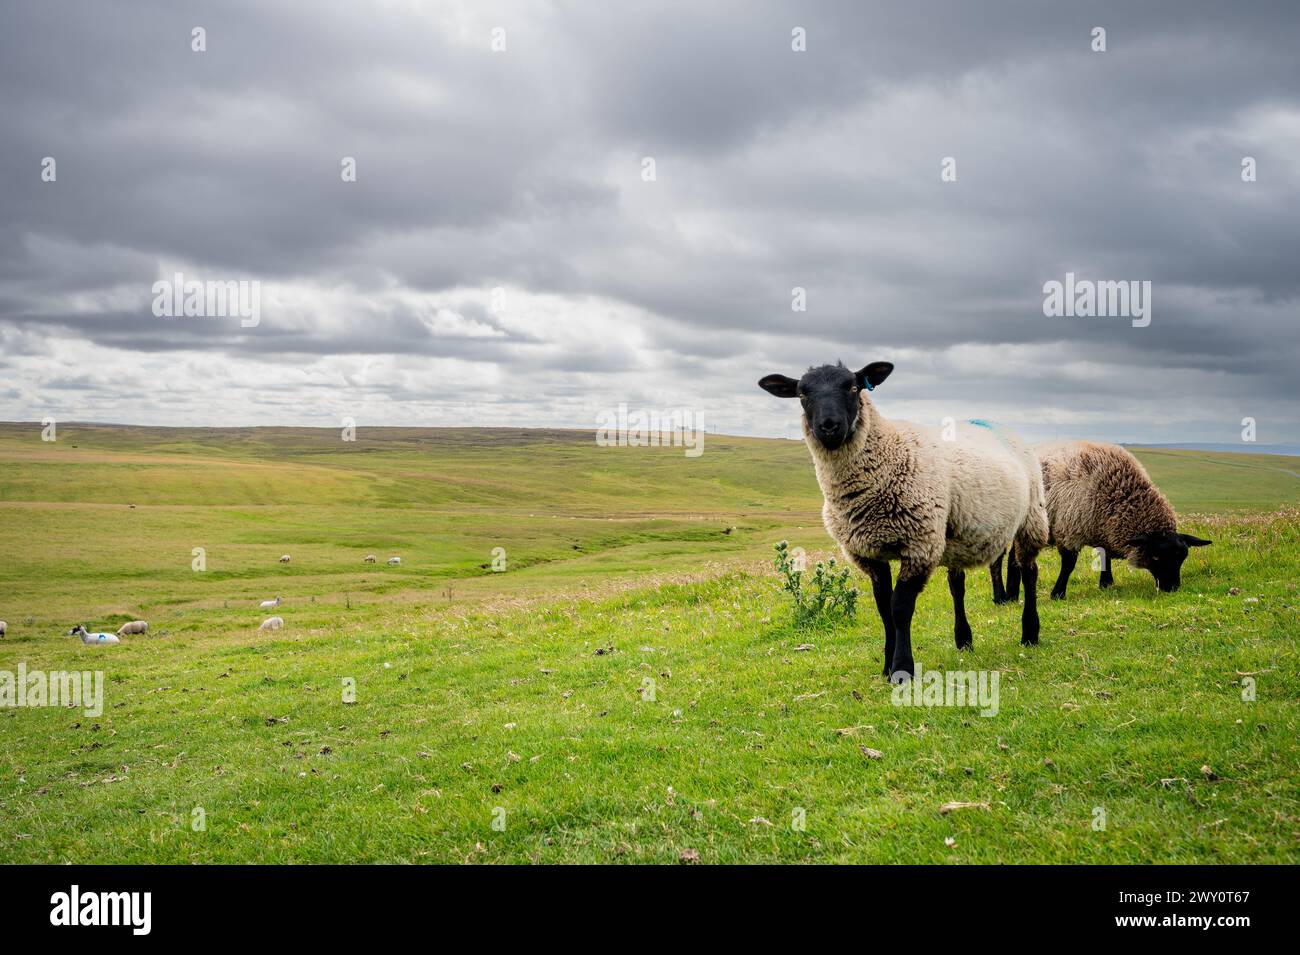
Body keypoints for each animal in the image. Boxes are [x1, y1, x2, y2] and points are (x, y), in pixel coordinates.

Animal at [759, 361, 1048, 682]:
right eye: (801, 394)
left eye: (853, 387)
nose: (829, 426)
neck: (886, 454)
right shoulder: (868, 553)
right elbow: (884, 608)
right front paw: (887, 665)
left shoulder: (919, 545)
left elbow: (899, 608)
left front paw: (901, 669)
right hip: (956, 534)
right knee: (957, 585)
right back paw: (964, 639)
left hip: (1031, 517)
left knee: (1030, 572)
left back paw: (1030, 633)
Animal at [991, 440, 1211, 600]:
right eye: (1156, 557)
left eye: (1182, 558)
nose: (1171, 588)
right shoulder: (1069, 530)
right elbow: (1069, 564)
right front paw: (1058, 593)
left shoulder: (1102, 527)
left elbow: (1105, 555)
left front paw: (1106, 583)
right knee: (998, 559)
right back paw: (1001, 598)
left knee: (1014, 557)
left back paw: (1013, 595)